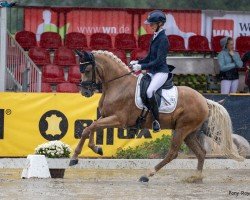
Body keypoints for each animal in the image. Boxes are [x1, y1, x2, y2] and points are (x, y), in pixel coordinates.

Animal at [70, 50, 244, 183]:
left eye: (86, 70)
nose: (85, 92)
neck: (118, 85)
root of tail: (204, 100)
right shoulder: (105, 117)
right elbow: (90, 128)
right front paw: (96, 148)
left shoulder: (118, 120)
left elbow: (90, 128)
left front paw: (75, 157)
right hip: (190, 133)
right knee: (201, 153)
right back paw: (196, 177)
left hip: (182, 129)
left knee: (173, 153)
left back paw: (148, 174)